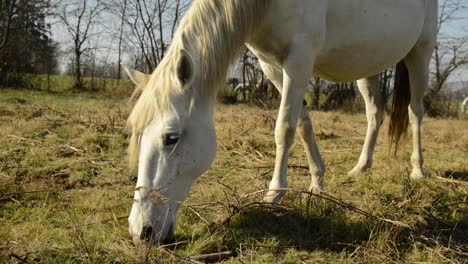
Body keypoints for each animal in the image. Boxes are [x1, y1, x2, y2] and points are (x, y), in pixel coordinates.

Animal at [125, 0, 438, 244]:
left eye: (171, 138)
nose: (142, 231)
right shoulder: (272, 65)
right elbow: (301, 124)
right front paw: (317, 182)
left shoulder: (298, 60)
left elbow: (284, 128)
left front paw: (274, 193)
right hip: (367, 64)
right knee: (375, 113)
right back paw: (361, 167)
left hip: (420, 54)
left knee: (415, 112)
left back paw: (417, 170)